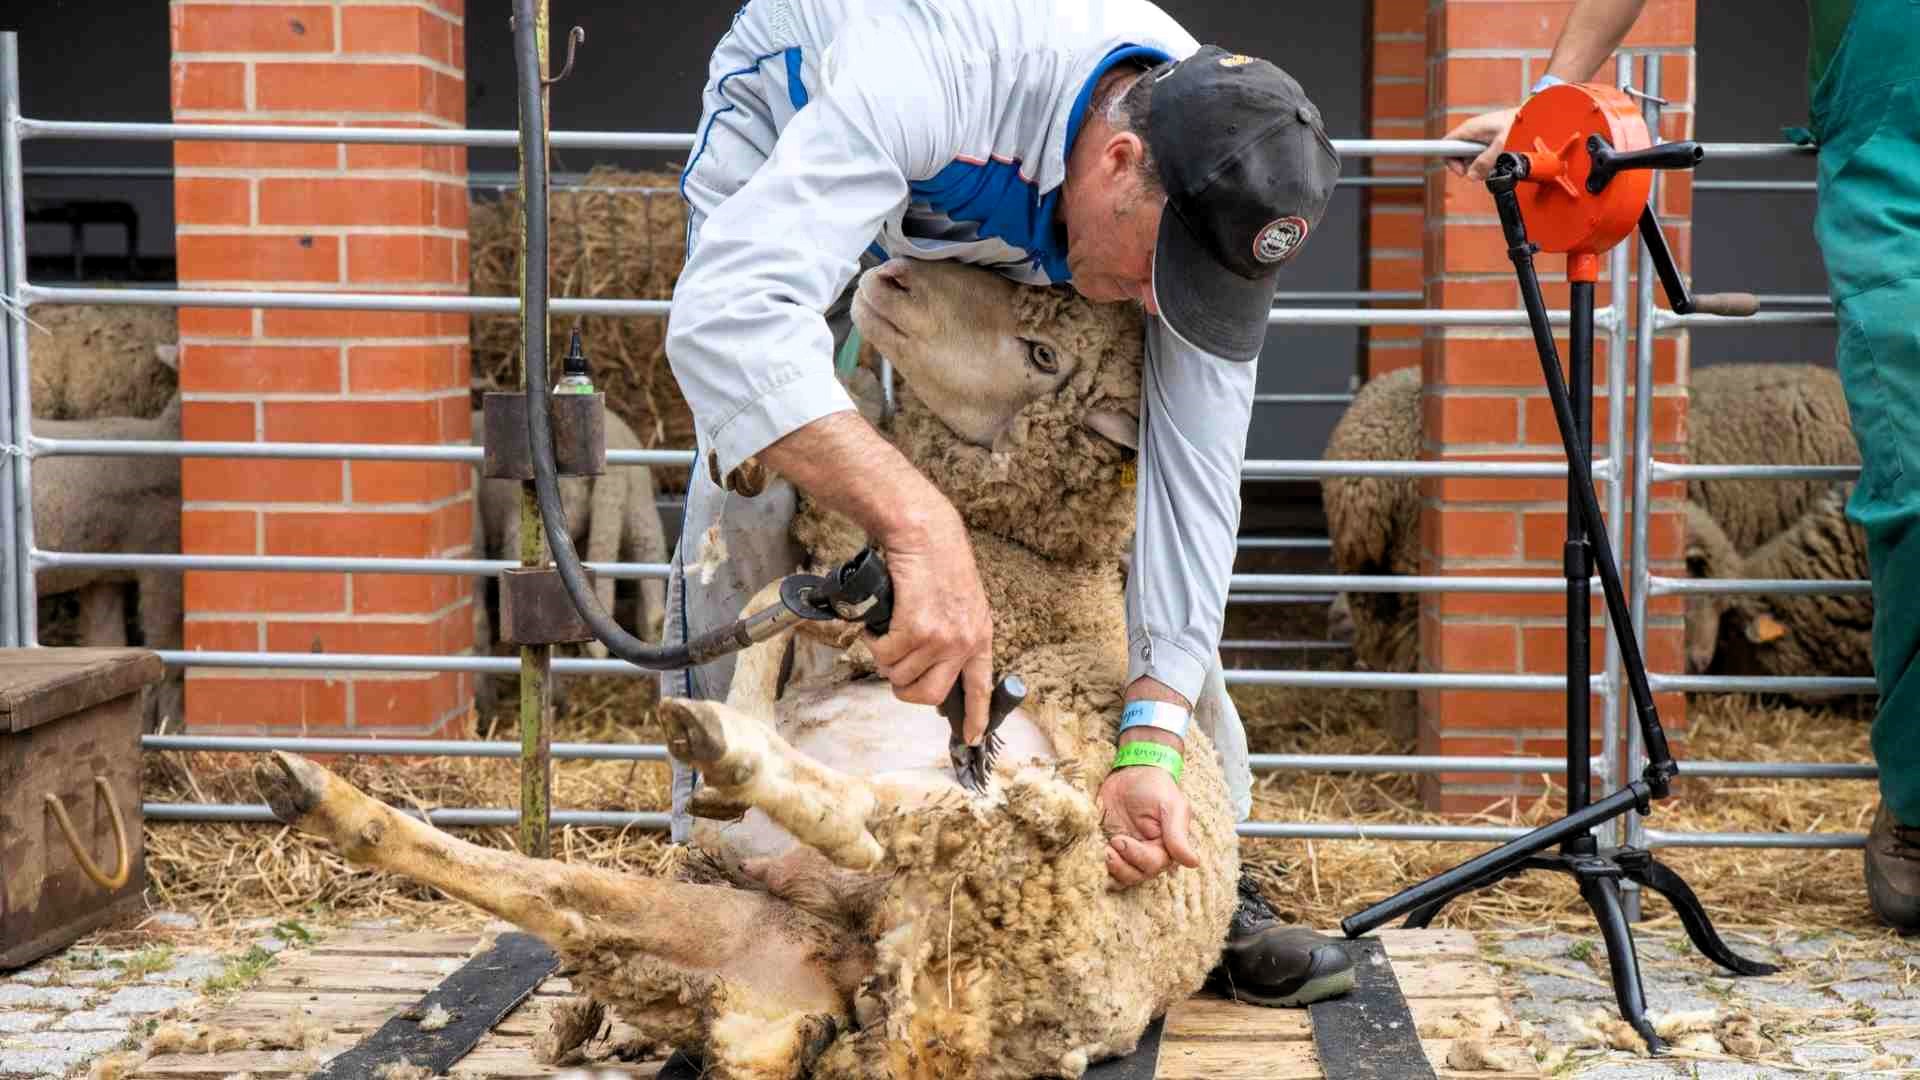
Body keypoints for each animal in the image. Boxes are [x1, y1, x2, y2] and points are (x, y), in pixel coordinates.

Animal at [255, 261, 1236, 1076]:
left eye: (1042, 353)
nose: (893, 276)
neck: (1030, 554)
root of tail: (929, 1024)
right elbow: (773, 603)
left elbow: (779, 615)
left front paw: (736, 741)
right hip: (771, 929)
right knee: (567, 893)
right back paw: (323, 796)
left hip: (1012, 845)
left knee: (865, 816)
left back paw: (725, 751)